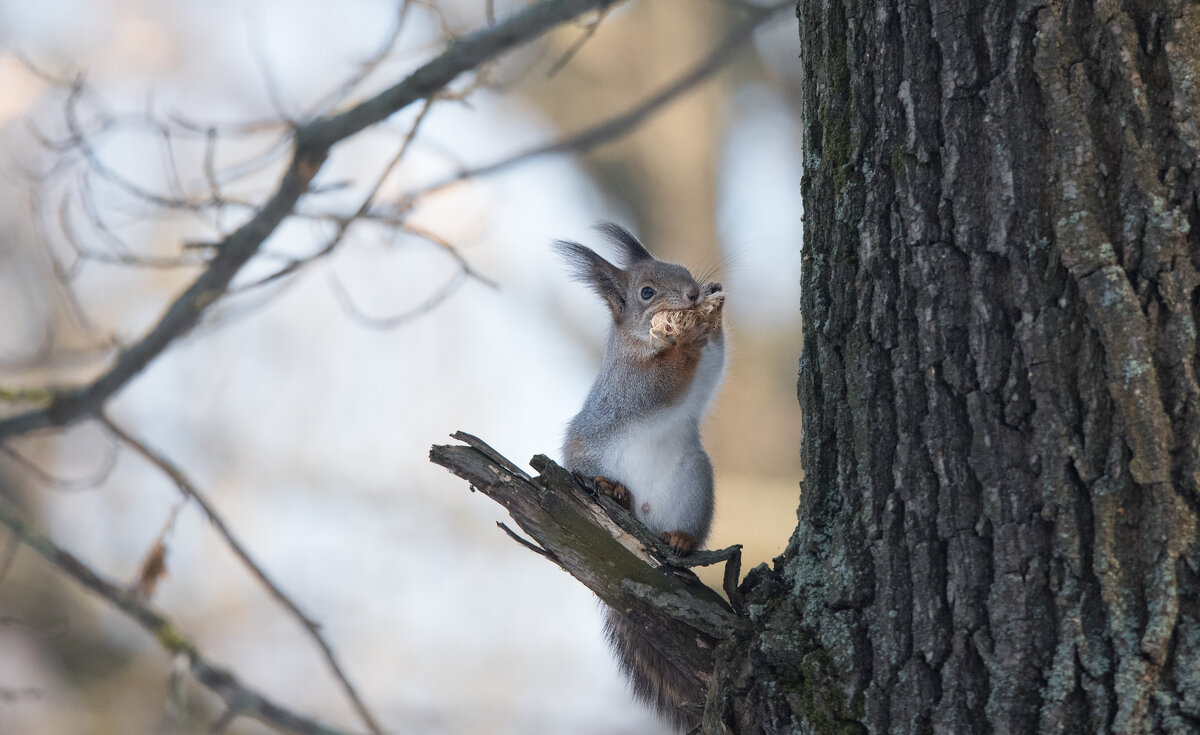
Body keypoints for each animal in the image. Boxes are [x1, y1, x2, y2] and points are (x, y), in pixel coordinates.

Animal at [552, 220, 720, 730]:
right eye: (647, 292)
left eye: (683, 269)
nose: (693, 292)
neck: (646, 342)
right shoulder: (634, 385)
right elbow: (666, 380)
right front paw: (690, 337)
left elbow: (715, 361)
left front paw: (714, 314)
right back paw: (611, 489)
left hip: (694, 486)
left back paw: (681, 540)